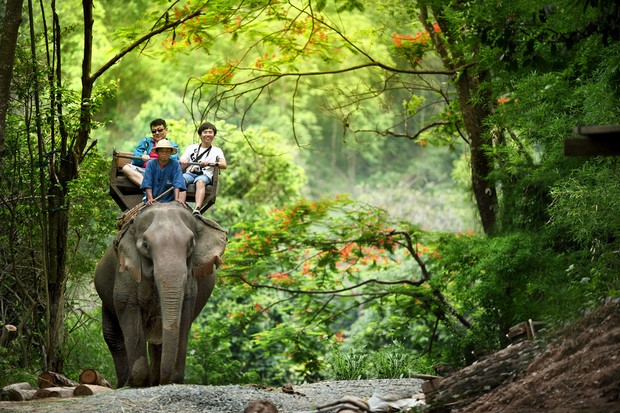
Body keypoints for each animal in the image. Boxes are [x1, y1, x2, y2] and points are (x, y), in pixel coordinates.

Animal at [94, 203, 225, 386]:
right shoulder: (126, 271)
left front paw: (174, 380)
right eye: (146, 245)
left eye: (191, 244)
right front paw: (138, 383)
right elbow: (128, 310)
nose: (165, 380)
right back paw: (125, 384)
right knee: (113, 335)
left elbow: (184, 316)